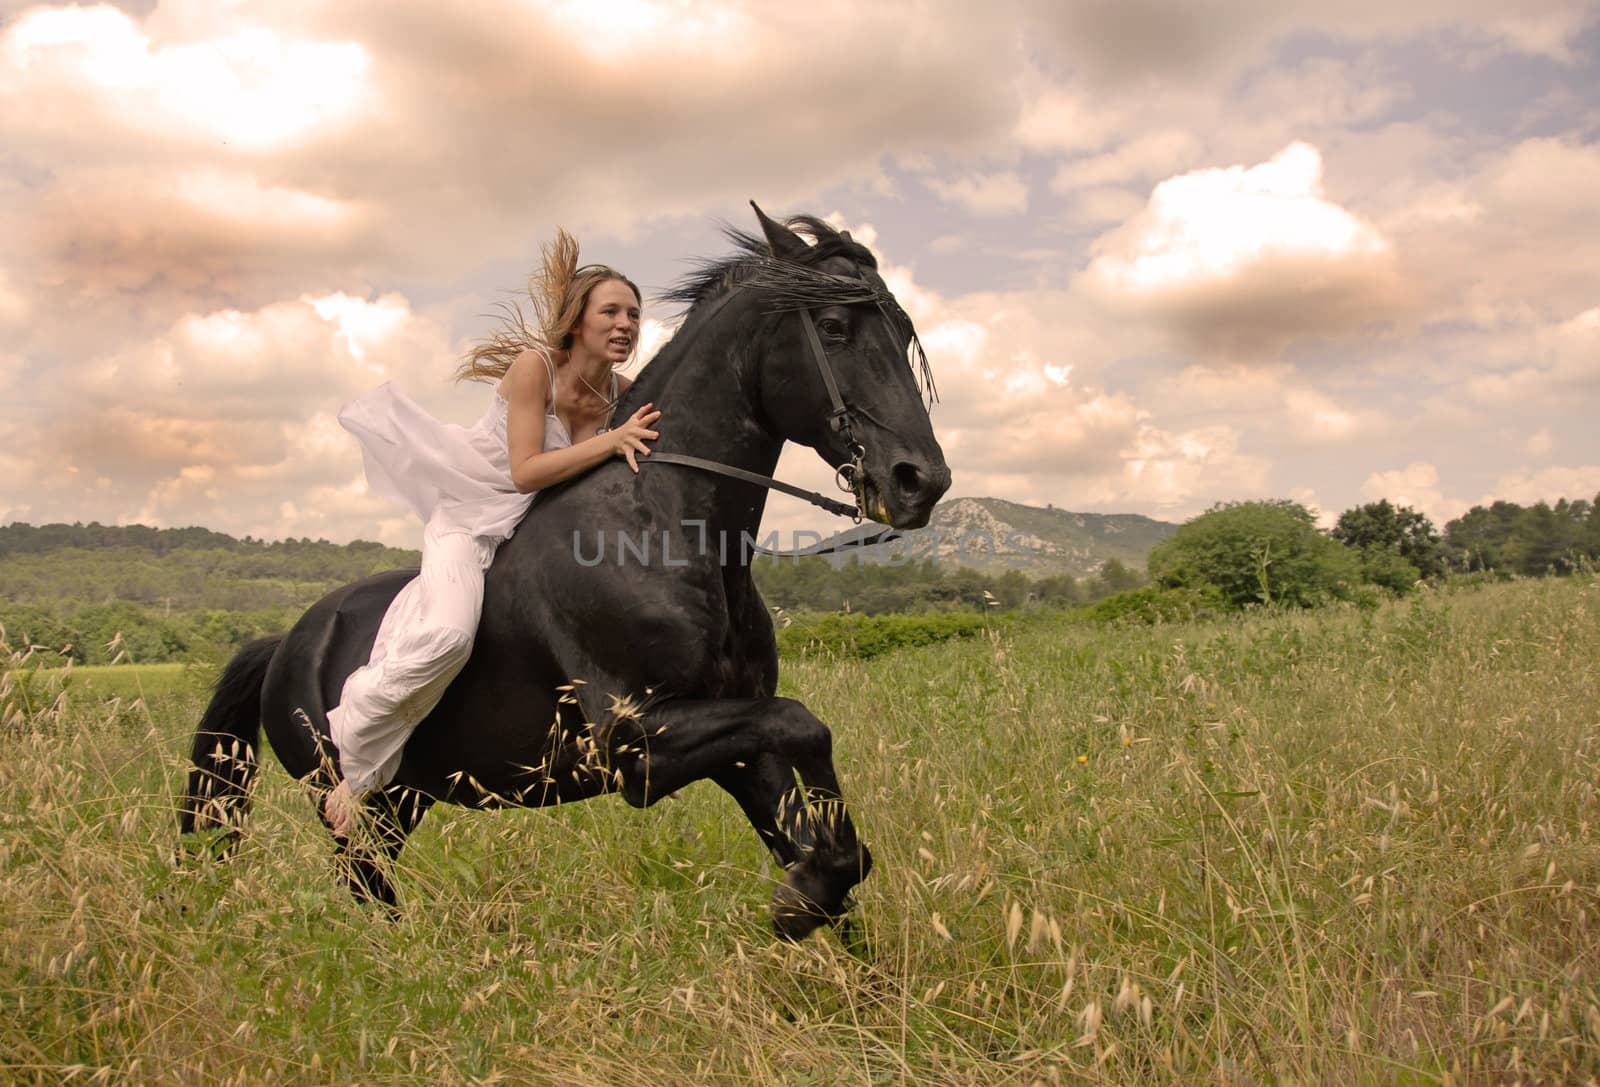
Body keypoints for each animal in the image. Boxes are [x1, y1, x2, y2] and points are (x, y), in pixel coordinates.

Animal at [178, 208, 947, 941]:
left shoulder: (738, 744)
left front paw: (821, 913)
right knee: (363, 880)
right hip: (351, 797)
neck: (659, 525)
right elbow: (804, 726)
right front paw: (799, 905)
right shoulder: (637, 746)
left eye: (904, 330)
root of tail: (284, 643)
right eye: (834, 326)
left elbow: (817, 823)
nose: (922, 482)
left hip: (403, 798)